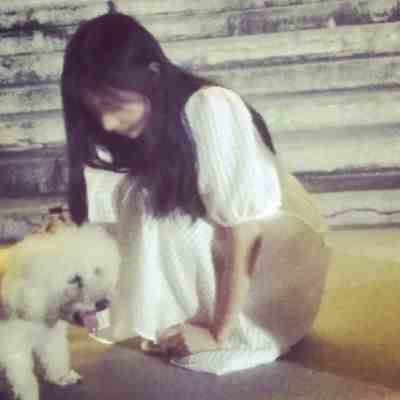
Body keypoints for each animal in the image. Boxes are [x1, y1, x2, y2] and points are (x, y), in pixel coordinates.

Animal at [0, 223, 120, 400]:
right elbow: (25, 379)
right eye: (73, 279)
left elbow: (56, 356)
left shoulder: (51, 334)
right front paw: (29, 395)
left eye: (96, 271)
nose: (103, 303)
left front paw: (62, 377)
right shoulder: (13, 346)